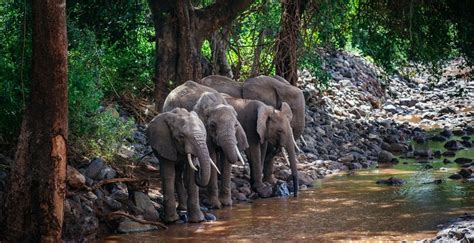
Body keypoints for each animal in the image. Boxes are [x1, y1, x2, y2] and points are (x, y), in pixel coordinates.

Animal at [163, 80, 248, 209]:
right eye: (212, 125)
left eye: (236, 125)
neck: (216, 104)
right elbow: (211, 156)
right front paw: (215, 205)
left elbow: (226, 159)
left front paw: (226, 204)